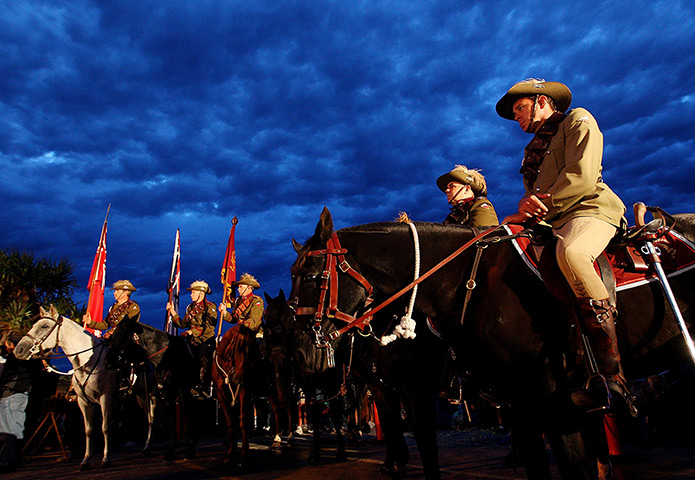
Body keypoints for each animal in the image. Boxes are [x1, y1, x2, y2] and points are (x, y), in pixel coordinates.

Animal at [14, 306, 117, 470]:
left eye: (44, 326)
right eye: (34, 324)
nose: (19, 349)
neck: (88, 360)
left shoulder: (106, 398)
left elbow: (105, 427)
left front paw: (106, 458)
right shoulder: (83, 401)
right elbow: (88, 430)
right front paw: (86, 460)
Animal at [286, 207, 695, 480]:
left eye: (309, 276)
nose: (303, 354)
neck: (469, 282)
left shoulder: (548, 394)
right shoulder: (514, 394)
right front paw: (393, 462)